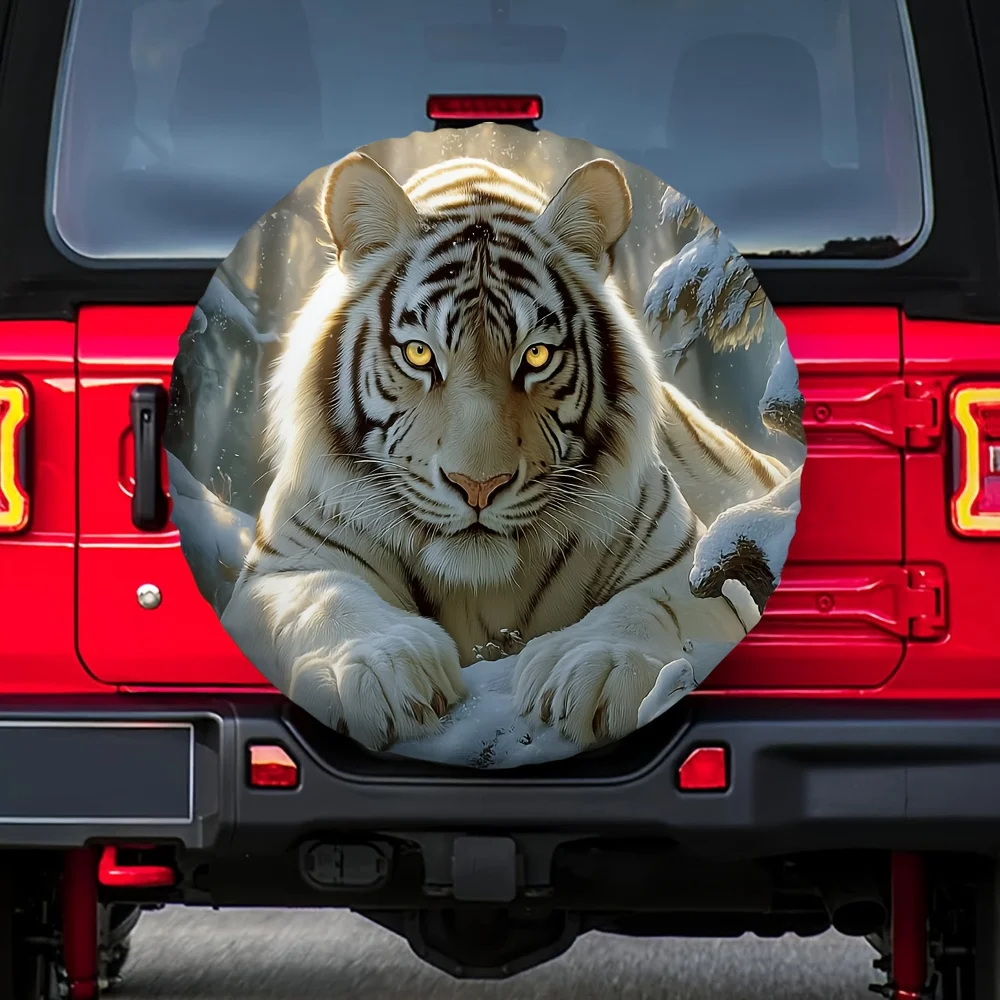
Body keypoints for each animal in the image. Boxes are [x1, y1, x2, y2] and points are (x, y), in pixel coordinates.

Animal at [220, 152, 789, 753]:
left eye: (536, 356)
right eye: (419, 354)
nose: (478, 486)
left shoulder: (688, 569)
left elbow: (651, 607)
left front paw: (596, 666)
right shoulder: (285, 566)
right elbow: (325, 598)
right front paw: (376, 670)